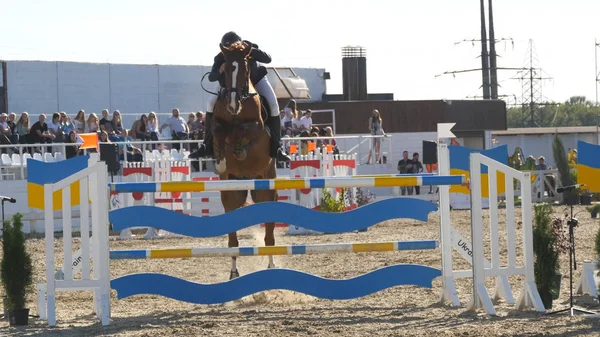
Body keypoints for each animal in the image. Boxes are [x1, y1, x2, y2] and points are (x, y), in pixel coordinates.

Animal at [211, 41, 276, 278]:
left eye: (246, 69)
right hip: (232, 194)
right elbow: (219, 131)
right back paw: (233, 272)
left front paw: (239, 148)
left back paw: (271, 266)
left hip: (266, 187)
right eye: (226, 69)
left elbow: (243, 129)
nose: (232, 105)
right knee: (233, 240)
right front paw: (221, 159)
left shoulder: (257, 125)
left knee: (269, 235)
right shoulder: (217, 124)